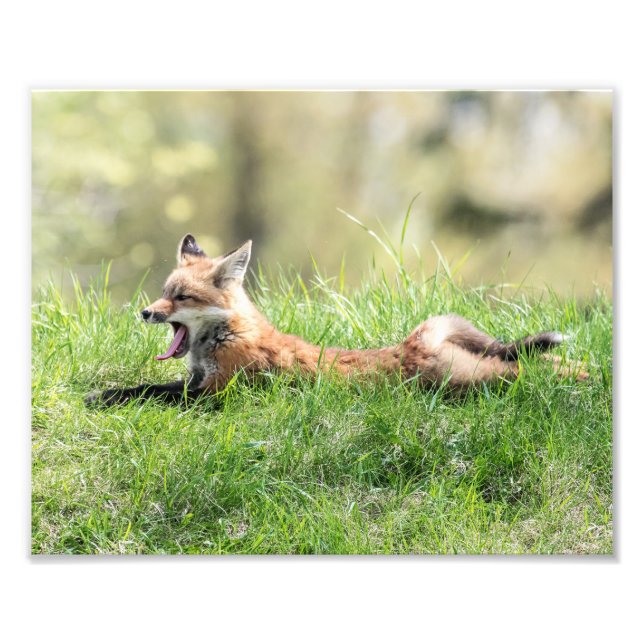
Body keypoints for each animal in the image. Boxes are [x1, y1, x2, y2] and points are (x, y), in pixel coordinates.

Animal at [86, 234, 588, 406]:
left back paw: (582, 378)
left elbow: (151, 395)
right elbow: (141, 387)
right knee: (530, 361)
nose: (145, 312)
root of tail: (411, 344)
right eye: (163, 293)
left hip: (472, 380)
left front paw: (104, 398)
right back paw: (584, 372)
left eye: (181, 297)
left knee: (525, 369)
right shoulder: (193, 383)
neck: (226, 337)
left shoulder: (215, 395)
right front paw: (104, 393)